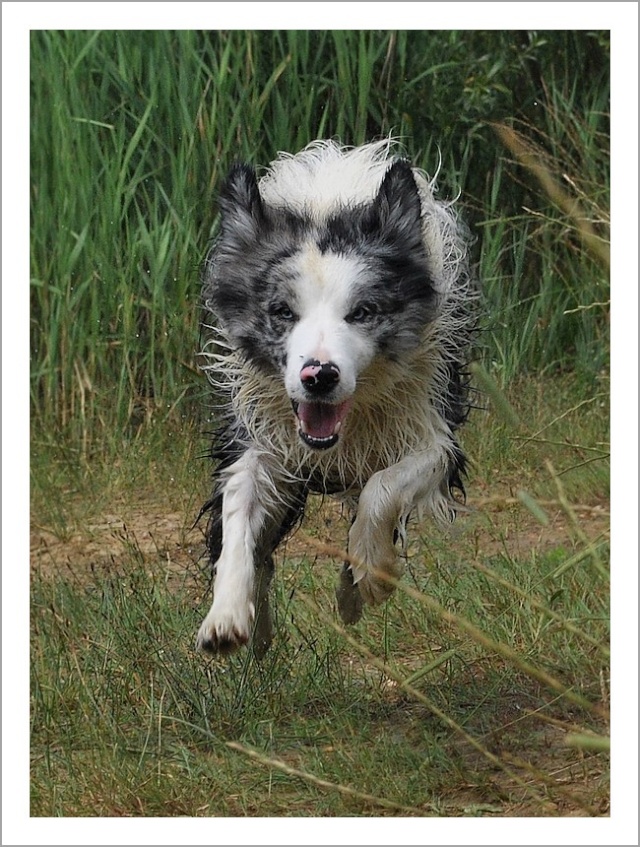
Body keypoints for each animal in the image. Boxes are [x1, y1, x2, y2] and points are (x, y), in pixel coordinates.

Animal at [198, 139, 478, 660]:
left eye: (363, 311)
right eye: (281, 311)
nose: (320, 377)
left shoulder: (435, 434)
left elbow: (382, 488)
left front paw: (370, 573)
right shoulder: (258, 436)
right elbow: (238, 511)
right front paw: (226, 616)